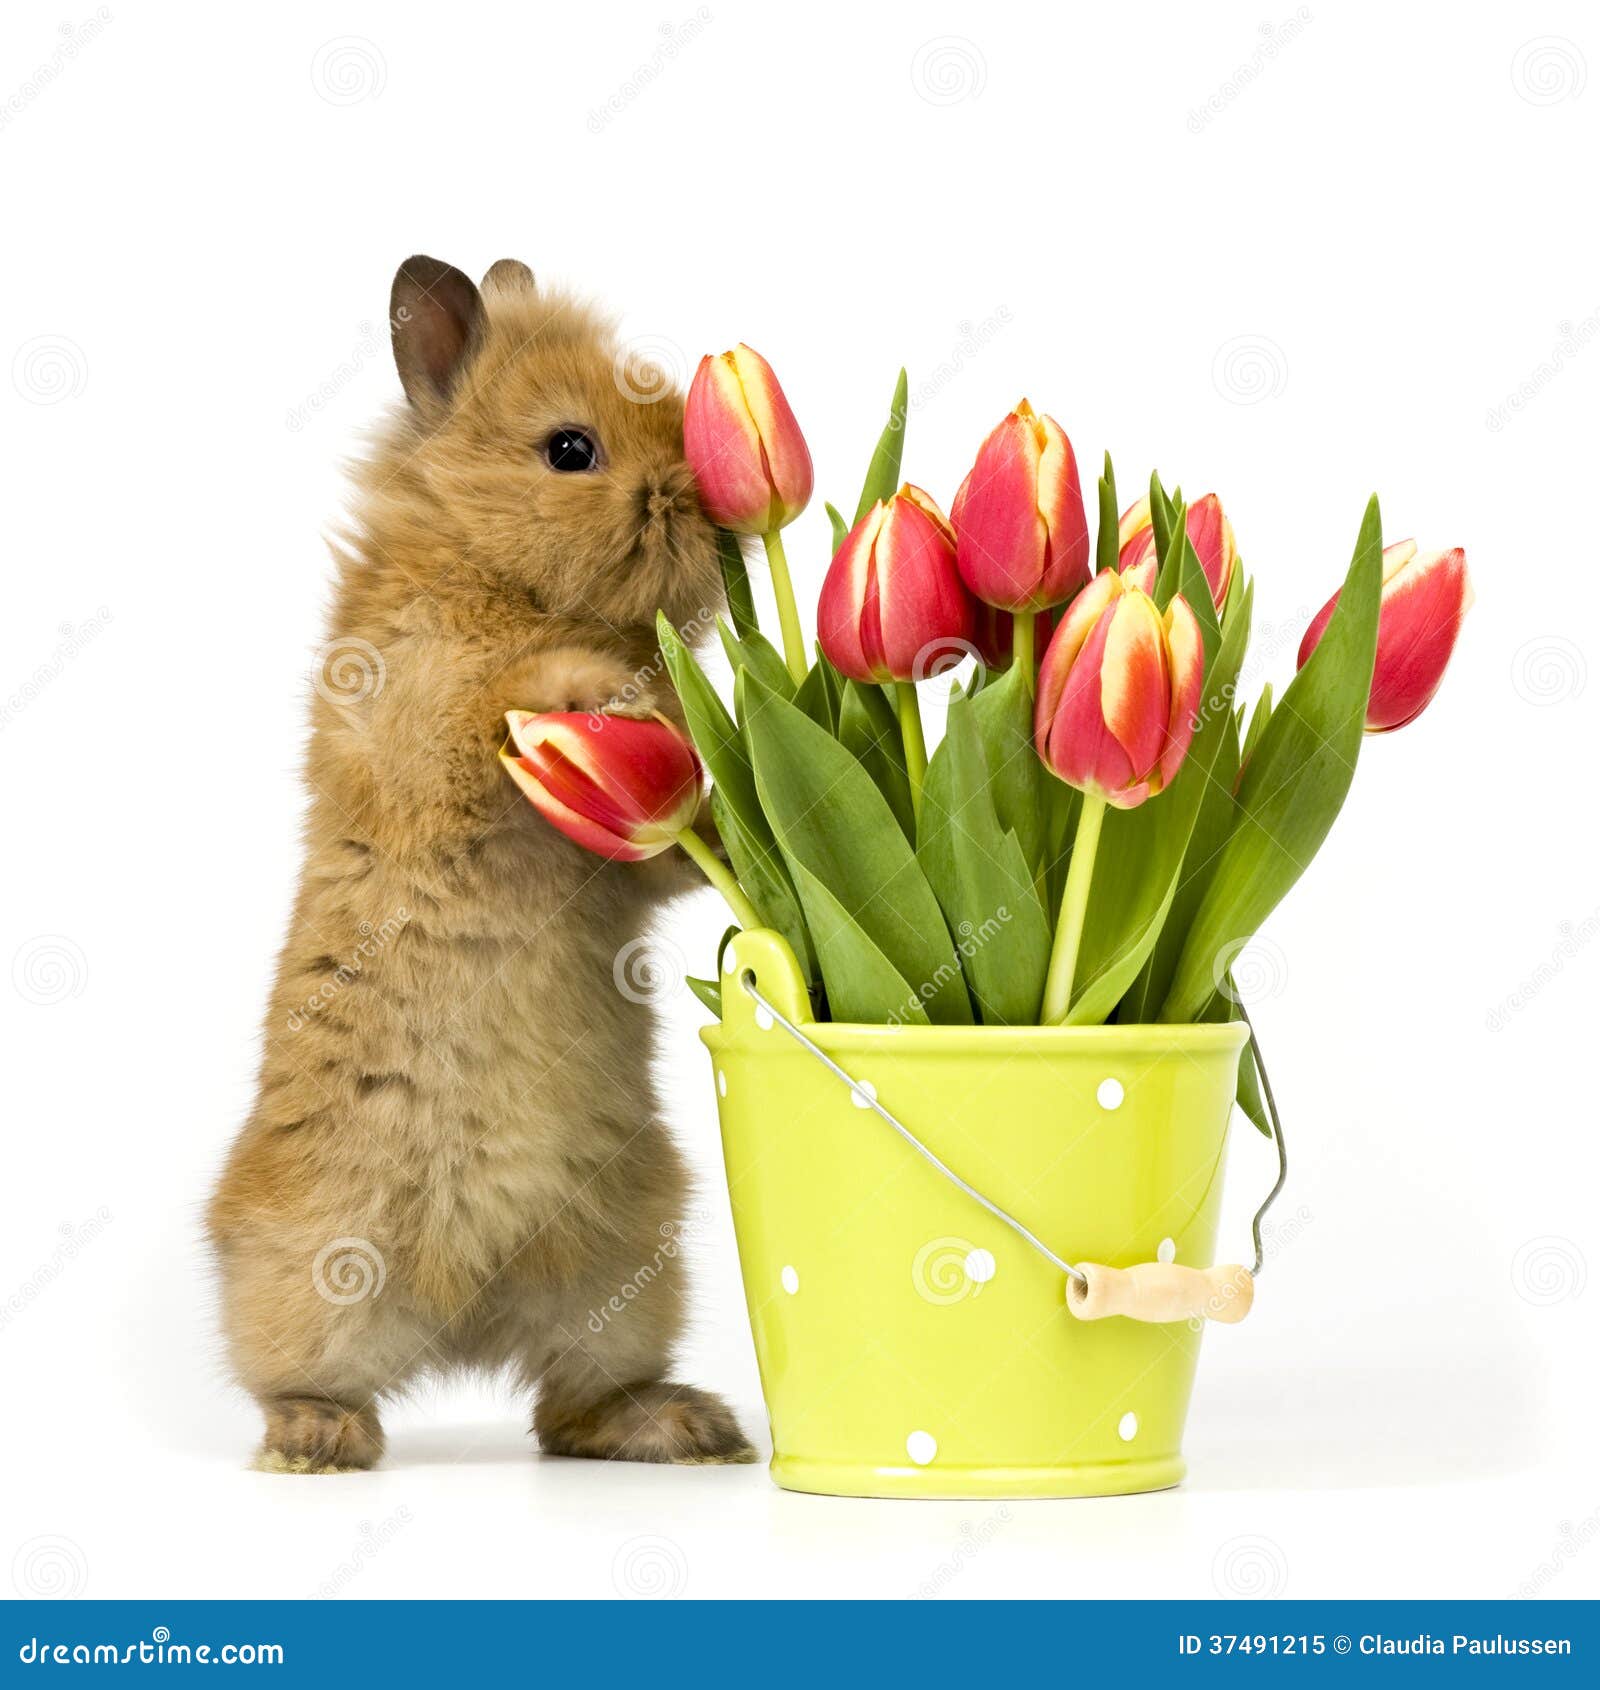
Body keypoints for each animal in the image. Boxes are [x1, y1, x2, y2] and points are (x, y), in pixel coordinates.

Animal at [206, 254, 753, 1472]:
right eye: (570, 448)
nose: (714, 521)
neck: (485, 561)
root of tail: (465, 1313)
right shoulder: (417, 713)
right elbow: (497, 697)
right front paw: (602, 688)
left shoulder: (631, 873)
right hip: (315, 1264)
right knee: (297, 1375)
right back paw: (313, 1438)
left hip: (626, 1272)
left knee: (569, 1410)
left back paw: (687, 1424)